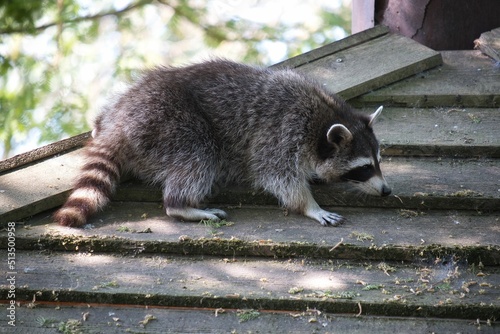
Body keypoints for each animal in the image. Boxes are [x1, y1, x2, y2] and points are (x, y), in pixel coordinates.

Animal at [54, 59, 390, 227]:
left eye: (378, 161)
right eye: (363, 168)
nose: (387, 191)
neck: (323, 115)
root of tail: (119, 125)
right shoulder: (283, 131)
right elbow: (276, 175)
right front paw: (309, 205)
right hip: (166, 122)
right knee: (199, 156)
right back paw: (182, 206)